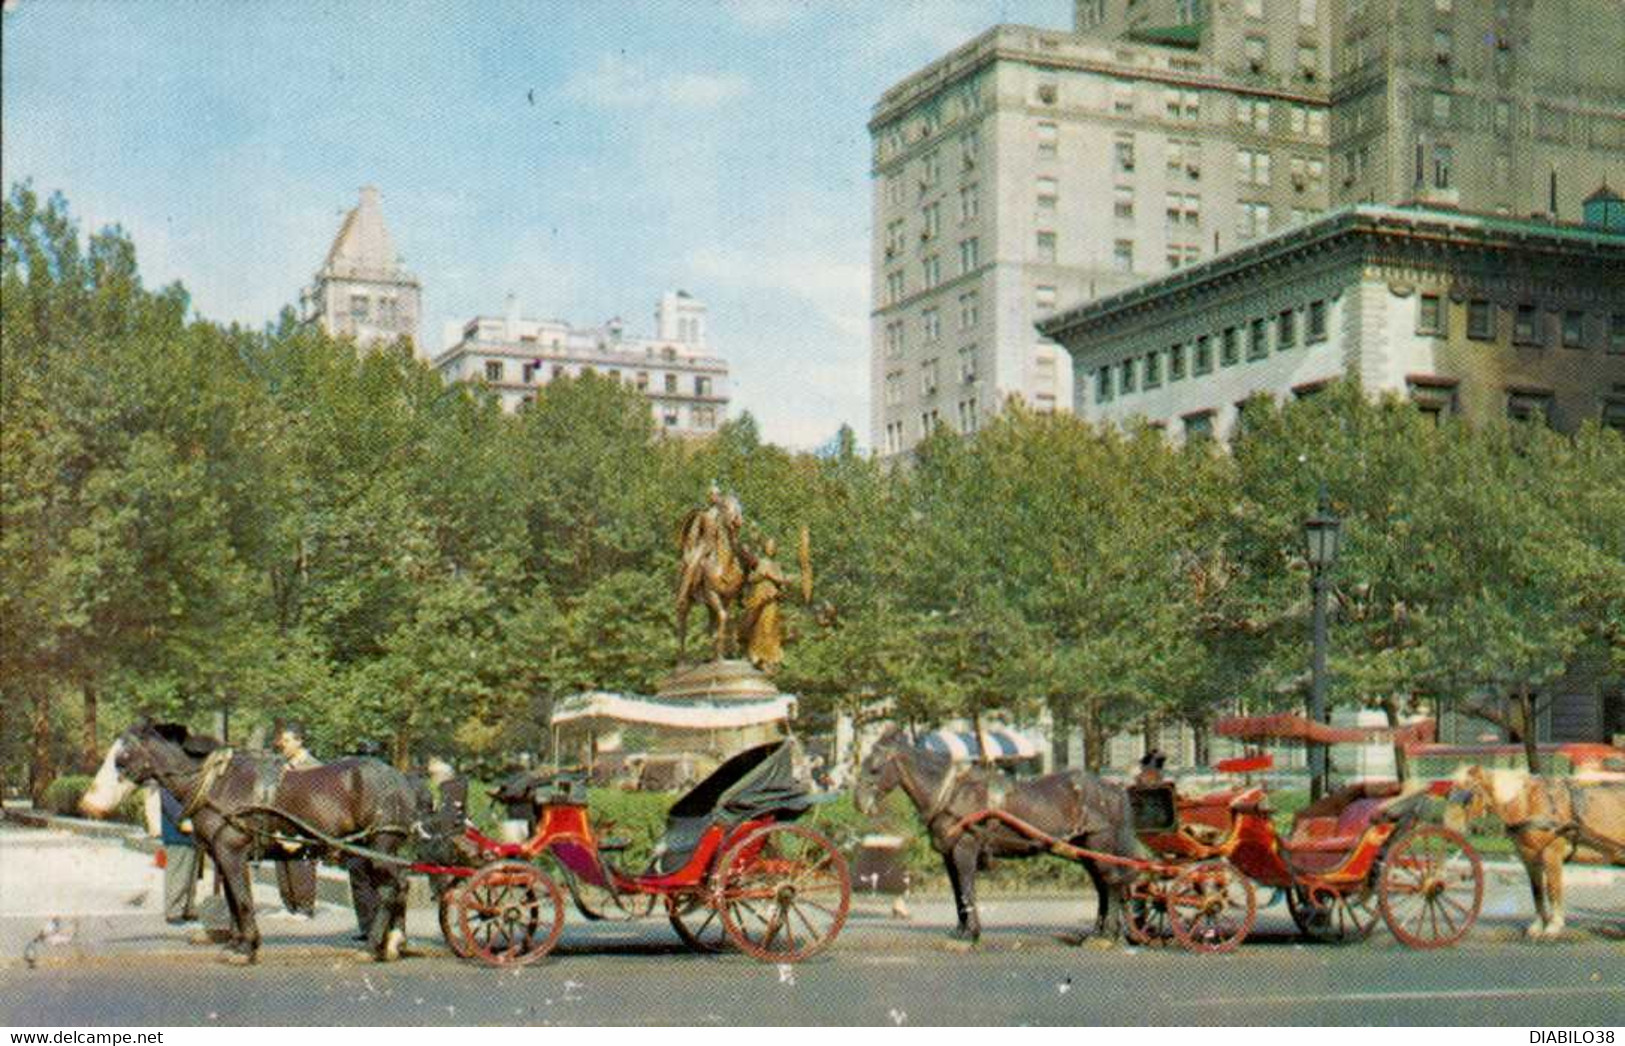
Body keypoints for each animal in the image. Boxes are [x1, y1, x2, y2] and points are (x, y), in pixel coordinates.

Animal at [85, 717, 422, 961]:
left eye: (122, 755)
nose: (89, 803)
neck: (215, 784)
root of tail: (402, 780)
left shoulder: (232, 852)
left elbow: (243, 899)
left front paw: (247, 947)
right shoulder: (222, 855)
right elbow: (233, 900)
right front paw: (236, 943)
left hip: (380, 843)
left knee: (391, 888)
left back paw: (374, 946)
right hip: (379, 846)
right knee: (402, 884)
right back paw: (395, 942)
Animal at [851, 730, 1144, 942]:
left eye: (875, 767)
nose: (859, 802)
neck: (952, 795)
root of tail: (1111, 787)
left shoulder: (965, 850)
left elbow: (967, 889)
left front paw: (971, 933)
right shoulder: (949, 855)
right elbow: (958, 893)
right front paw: (961, 930)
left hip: (1098, 844)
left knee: (1111, 884)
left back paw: (1107, 933)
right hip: (1084, 849)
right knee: (1103, 886)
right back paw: (1099, 931)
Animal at [1449, 763, 1625, 935]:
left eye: (1470, 793)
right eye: (1451, 791)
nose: (1452, 828)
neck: (1529, 803)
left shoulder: (1551, 855)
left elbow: (1553, 889)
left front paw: (1554, 925)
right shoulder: (1529, 857)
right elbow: (1537, 891)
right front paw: (1538, 925)